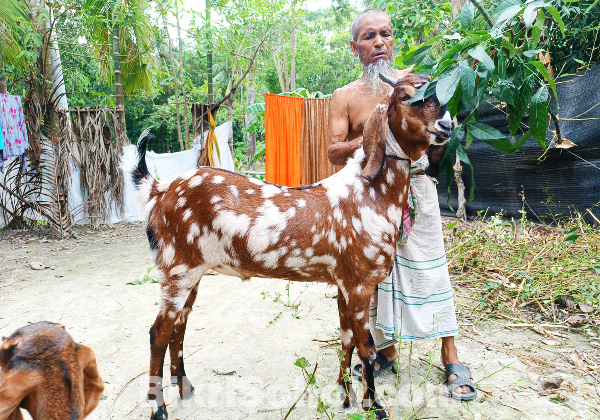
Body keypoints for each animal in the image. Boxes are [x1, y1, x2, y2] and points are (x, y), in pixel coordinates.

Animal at [127, 74, 454, 418]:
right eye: (405, 97)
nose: (446, 125)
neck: (369, 192)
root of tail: (161, 190)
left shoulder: (343, 283)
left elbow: (346, 339)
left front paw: (344, 392)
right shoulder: (360, 283)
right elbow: (367, 349)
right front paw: (374, 406)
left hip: (192, 272)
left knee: (178, 327)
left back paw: (185, 388)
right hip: (177, 270)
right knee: (158, 334)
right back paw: (158, 408)